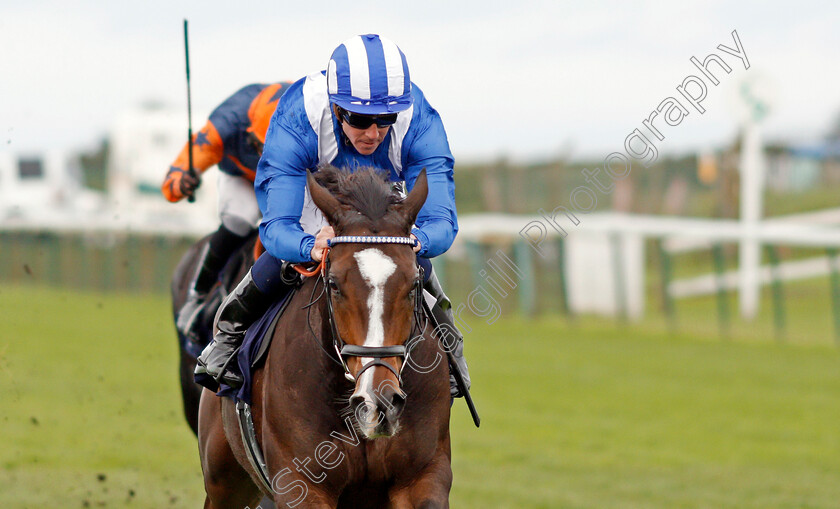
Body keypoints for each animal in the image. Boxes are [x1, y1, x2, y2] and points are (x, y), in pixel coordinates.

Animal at [196, 168, 452, 508]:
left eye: (413, 284)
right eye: (333, 284)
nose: (378, 402)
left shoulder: (422, 477)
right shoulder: (300, 484)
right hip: (224, 482)